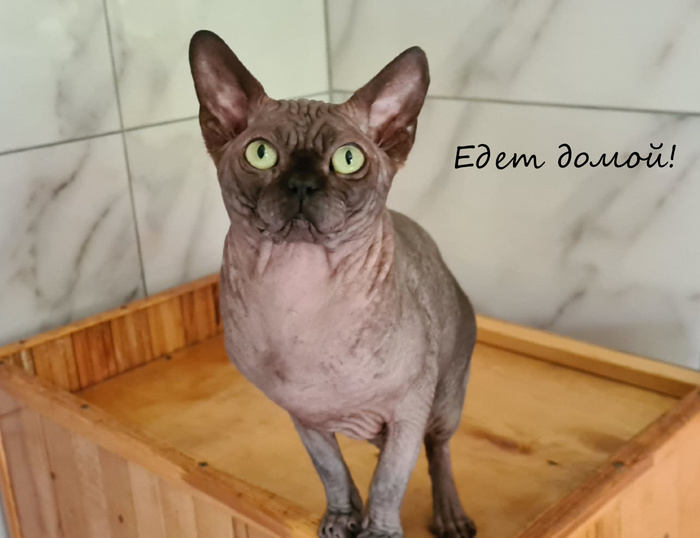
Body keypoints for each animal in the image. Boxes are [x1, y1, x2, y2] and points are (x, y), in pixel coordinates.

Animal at [189, 30, 478, 538]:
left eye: (348, 159)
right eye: (261, 154)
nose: (303, 184)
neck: (300, 301)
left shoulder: (408, 410)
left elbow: (389, 483)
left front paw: (378, 530)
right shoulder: (304, 417)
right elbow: (334, 472)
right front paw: (343, 518)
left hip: (443, 402)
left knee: (436, 450)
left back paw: (450, 516)